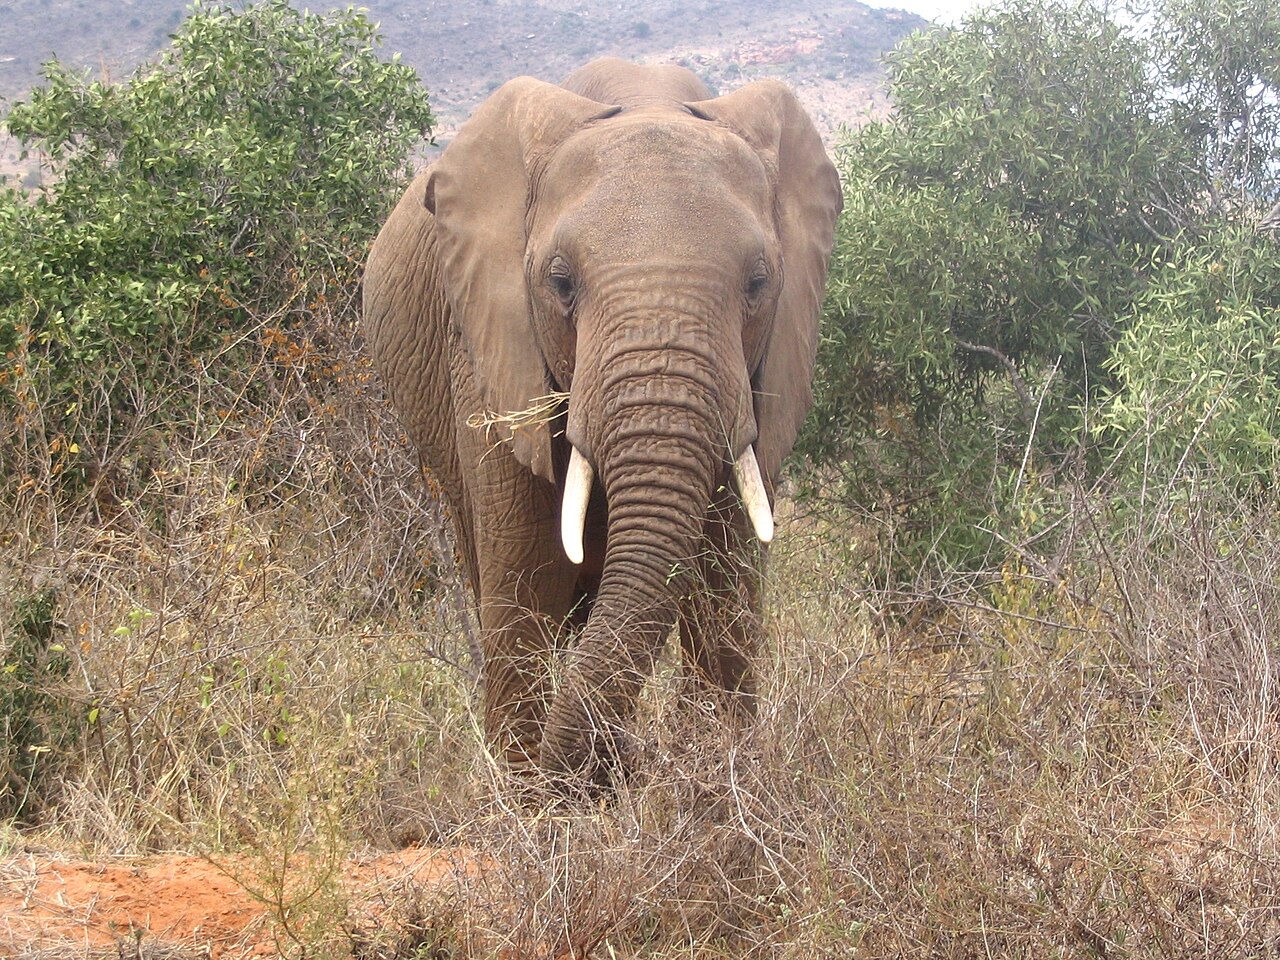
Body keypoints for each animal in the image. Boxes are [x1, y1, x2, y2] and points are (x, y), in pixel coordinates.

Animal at [363, 57, 841, 790]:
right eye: (560, 284)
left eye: (759, 284)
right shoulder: (484, 343)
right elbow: (526, 581)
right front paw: (534, 811)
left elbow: (724, 586)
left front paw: (708, 805)